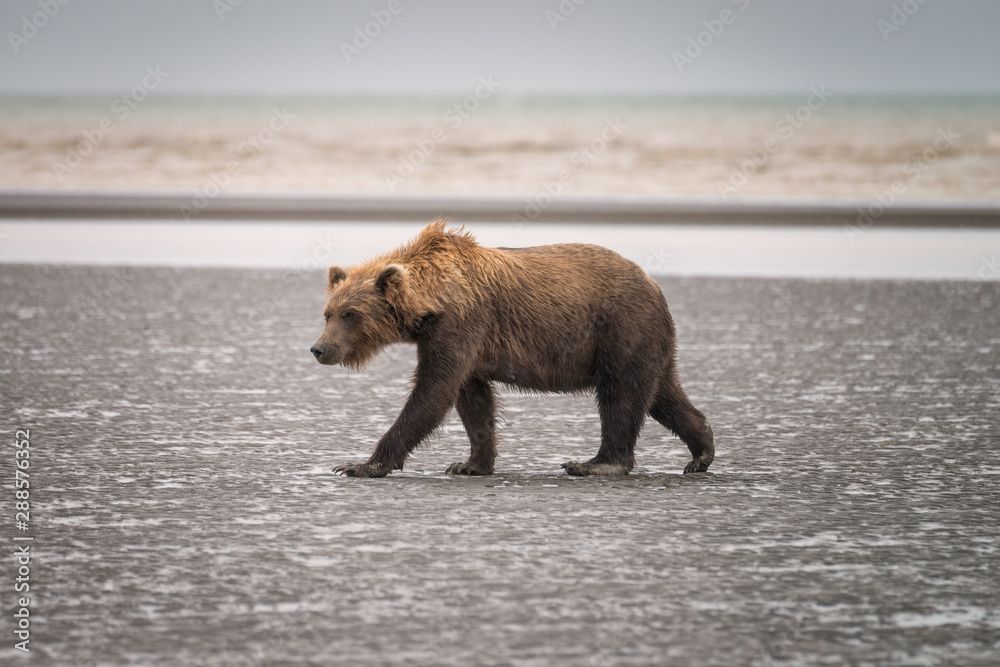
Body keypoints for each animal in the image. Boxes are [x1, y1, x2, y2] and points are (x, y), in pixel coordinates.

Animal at [310, 220, 714, 478]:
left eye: (351, 314)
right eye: (327, 312)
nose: (319, 348)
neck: (431, 301)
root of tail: (654, 284)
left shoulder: (460, 324)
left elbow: (433, 392)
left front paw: (360, 464)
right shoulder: (462, 342)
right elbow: (473, 401)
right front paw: (470, 463)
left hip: (621, 327)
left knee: (620, 395)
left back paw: (594, 463)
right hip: (647, 340)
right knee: (661, 393)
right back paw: (701, 451)